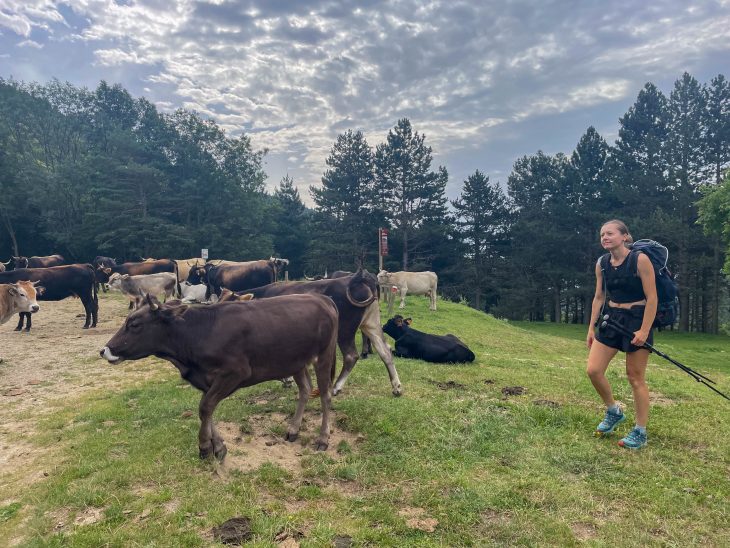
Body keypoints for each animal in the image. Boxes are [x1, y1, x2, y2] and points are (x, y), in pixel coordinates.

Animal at [100, 296, 338, 458]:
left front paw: (205, 446)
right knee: (305, 389)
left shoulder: (235, 372)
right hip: (296, 361)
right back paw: (293, 430)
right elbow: (206, 409)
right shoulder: (205, 380)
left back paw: (323, 439)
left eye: (135, 325)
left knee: (325, 395)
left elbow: (205, 407)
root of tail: (321, 298)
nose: (104, 350)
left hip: (324, 355)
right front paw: (219, 445)